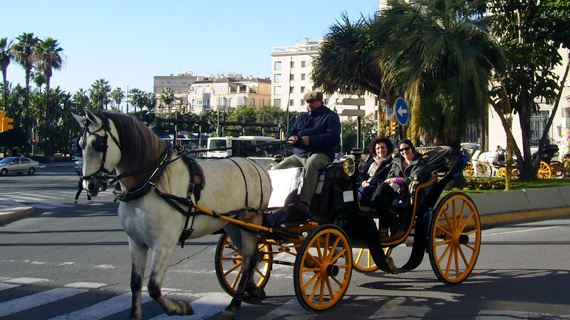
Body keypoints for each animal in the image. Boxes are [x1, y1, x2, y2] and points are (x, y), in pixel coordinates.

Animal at [72, 110, 272, 320]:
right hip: (232, 223)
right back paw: (253, 289)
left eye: (98, 144)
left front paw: (180, 307)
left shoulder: (164, 243)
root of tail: (255, 165)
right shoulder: (136, 242)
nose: (88, 184)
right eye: (80, 145)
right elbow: (135, 283)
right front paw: (136, 314)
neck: (152, 181)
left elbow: (153, 287)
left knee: (249, 258)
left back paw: (234, 304)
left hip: (251, 220)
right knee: (249, 255)